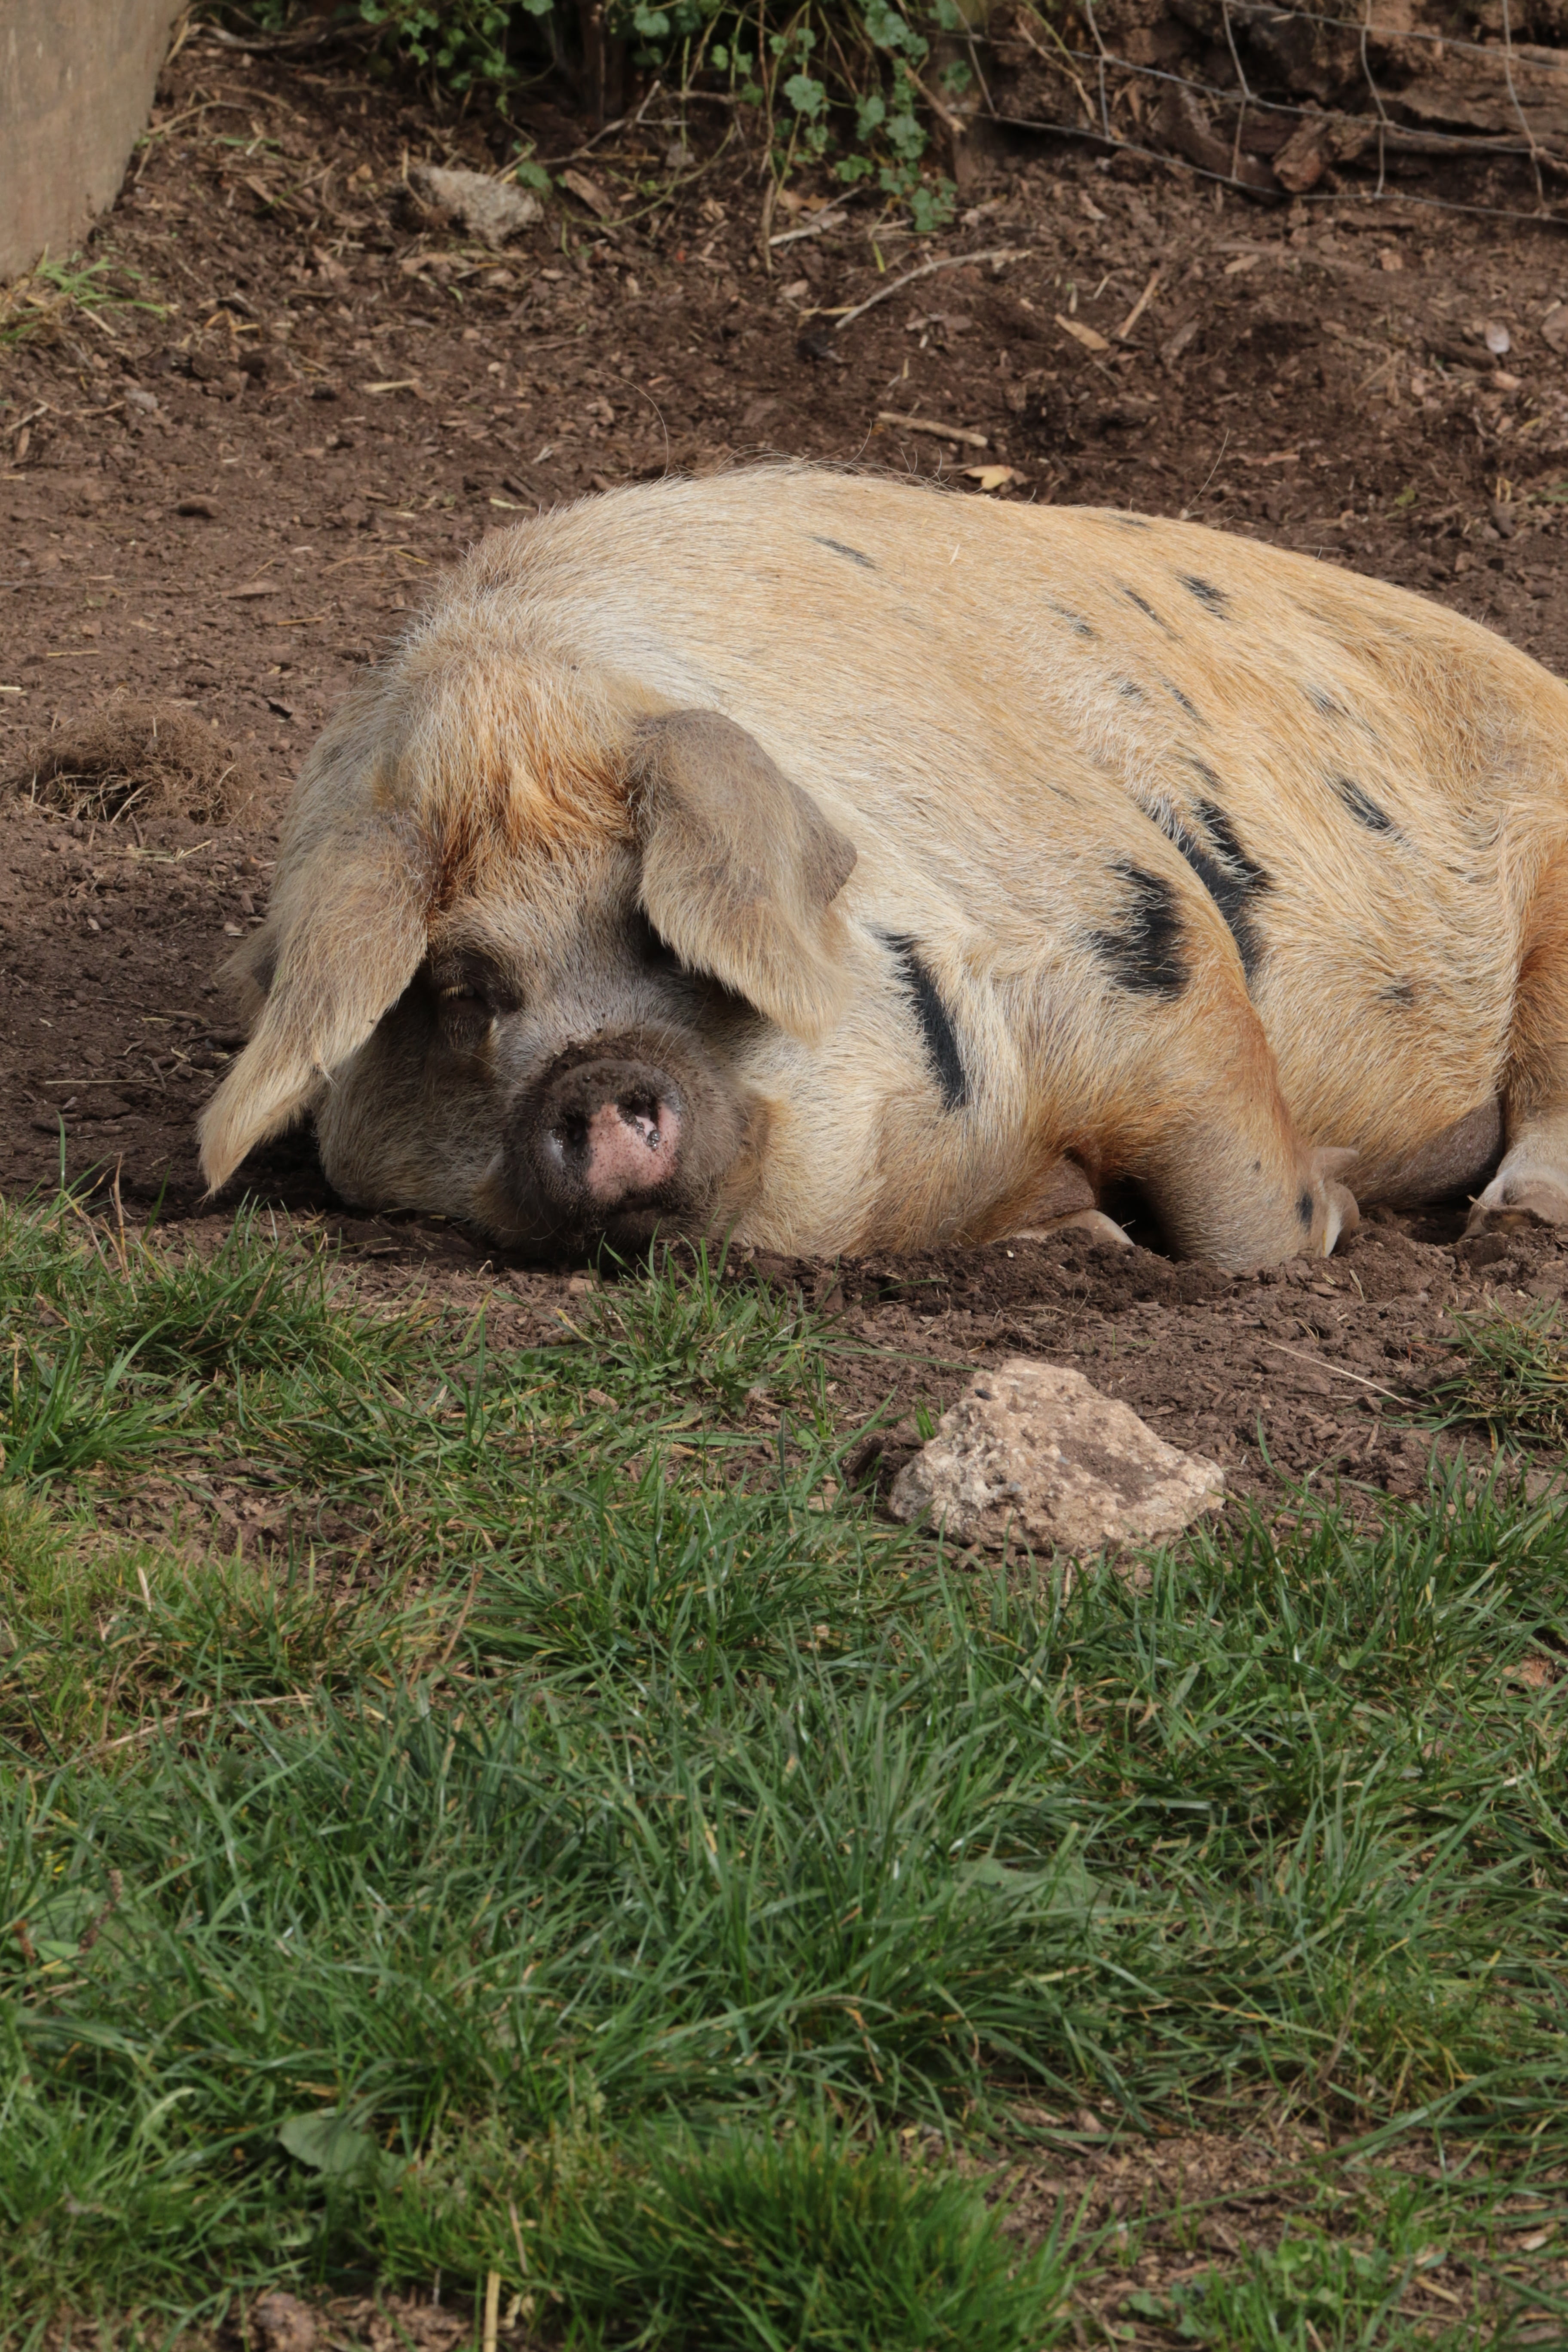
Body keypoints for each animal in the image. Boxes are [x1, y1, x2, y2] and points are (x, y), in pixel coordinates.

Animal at [198, 465, 1568, 1272]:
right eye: (464, 993)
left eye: (660, 934)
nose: (592, 1078)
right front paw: (1090, 1241)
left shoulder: (1148, 940)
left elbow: (1244, 1219)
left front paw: (1333, 1211)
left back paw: (1513, 1222)